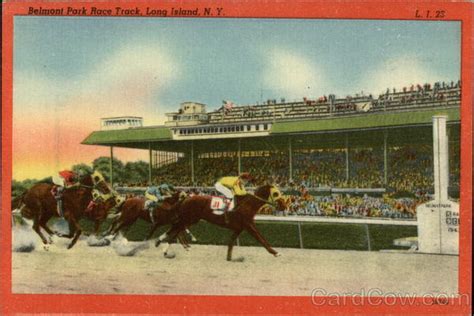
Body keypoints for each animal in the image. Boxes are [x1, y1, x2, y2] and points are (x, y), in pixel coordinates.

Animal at [157, 184, 286, 260]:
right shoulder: (248, 225)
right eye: (276, 193)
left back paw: (164, 243)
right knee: (176, 230)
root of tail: (186, 198)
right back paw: (163, 247)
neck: (248, 204)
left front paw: (229, 257)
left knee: (176, 229)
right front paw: (275, 252)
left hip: (191, 219)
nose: (284, 206)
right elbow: (261, 239)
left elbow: (231, 241)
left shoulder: (239, 228)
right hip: (189, 218)